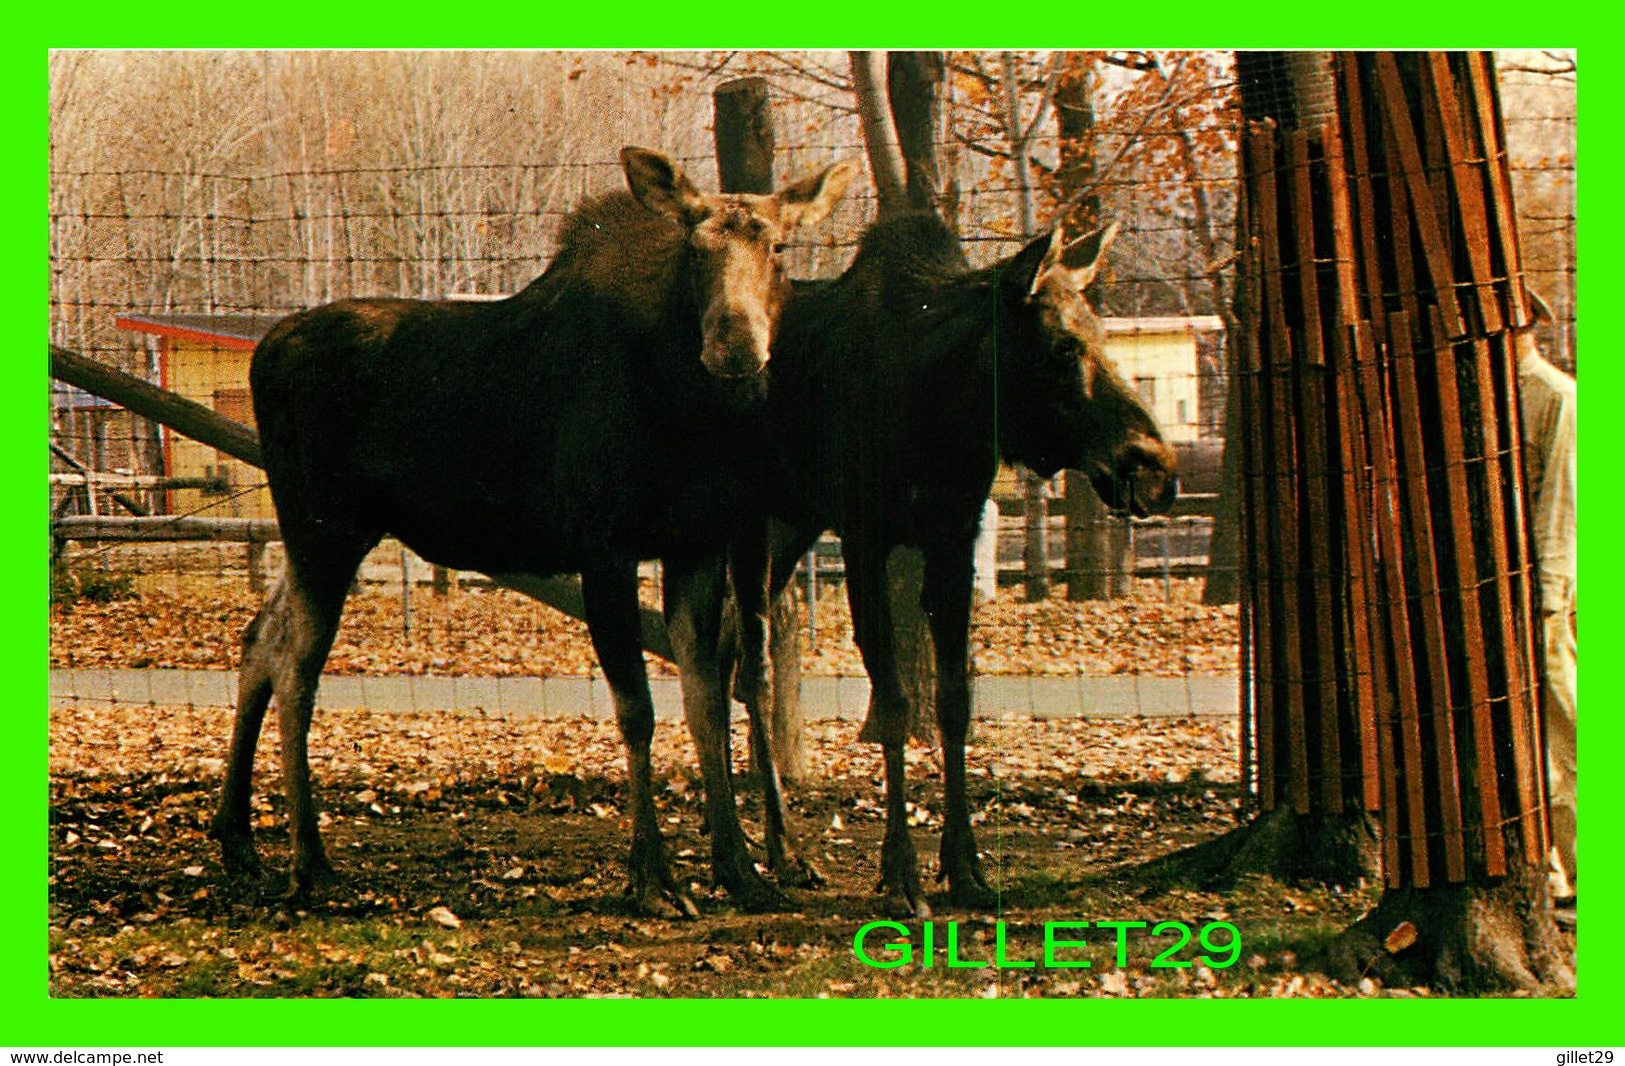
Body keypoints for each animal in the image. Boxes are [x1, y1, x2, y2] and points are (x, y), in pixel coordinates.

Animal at [209, 147, 858, 916]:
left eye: (780, 247)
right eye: (694, 251)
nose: (734, 348)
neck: (685, 412)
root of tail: (260, 355)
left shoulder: (696, 545)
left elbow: (705, 701)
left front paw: (740, 867)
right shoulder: (605, 547)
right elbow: (638, 710)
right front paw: (653, 877)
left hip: (320, 535)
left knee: (259, 638)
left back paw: (238, 839)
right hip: (323, 528)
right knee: (296, 667)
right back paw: (309, 860)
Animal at [718, 214, 1176, 916]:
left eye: (1103, 335)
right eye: (1063, 345)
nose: (1156, 471)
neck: (945, 410)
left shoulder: (954, 536)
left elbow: (955, 700)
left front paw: (965, 867)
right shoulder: (866, 538)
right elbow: (896, 702)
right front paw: (902, 873)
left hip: (791, 525)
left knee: (731, 658)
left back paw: (760, 844)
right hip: (743, 521)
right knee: (750, 666)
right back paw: (770, 850)